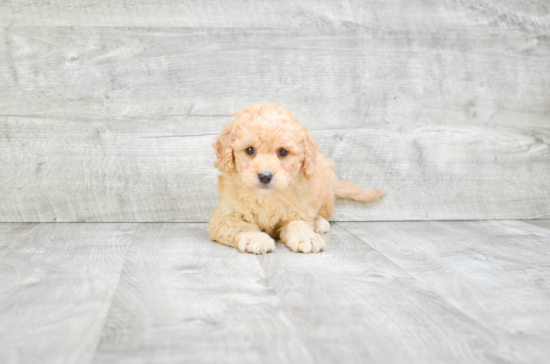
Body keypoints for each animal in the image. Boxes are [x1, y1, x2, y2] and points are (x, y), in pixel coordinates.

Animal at [209, 104, 386, 255]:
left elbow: (299, 224)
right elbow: (241, 226)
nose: (265, 176)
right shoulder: (224, 216)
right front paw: (256, 238)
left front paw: (307, 237)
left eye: (283, 152)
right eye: (249, 150)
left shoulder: (298, 211)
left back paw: (319, 223)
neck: (266, 198)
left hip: (325, 192)